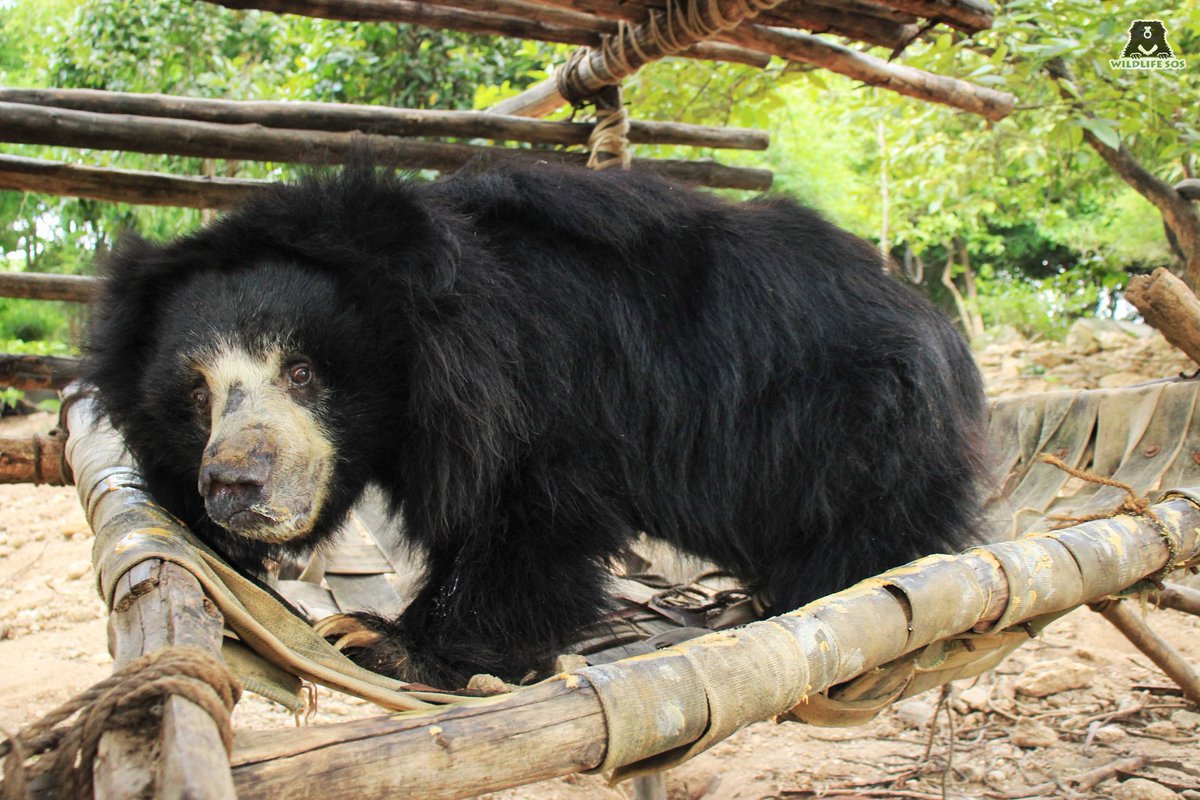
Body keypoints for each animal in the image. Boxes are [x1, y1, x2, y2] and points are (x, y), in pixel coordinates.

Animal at [85, 162, 987, 688]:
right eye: (197, 397)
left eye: (302, 372)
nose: (231, 486)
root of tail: (940, 329)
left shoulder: (546, 393)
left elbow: (527, 525)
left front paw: (380, 641)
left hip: (852, 423)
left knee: (864, 520)